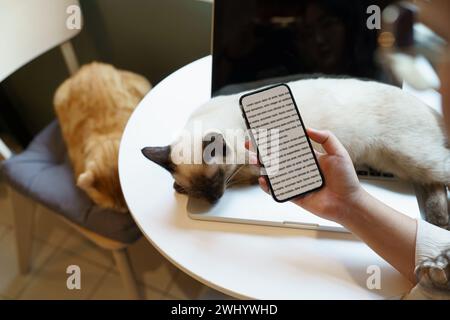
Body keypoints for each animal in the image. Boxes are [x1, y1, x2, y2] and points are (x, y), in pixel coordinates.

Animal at [142, 78, 450, 228]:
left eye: (217, 180)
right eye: (200, 190)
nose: (214, 199)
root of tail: (427, 105)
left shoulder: (249, 170)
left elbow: (240, 177)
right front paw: (178, 188)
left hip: (411, 155)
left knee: (440, 173)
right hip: (402, 162)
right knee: (432, 183)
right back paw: (439, 218)